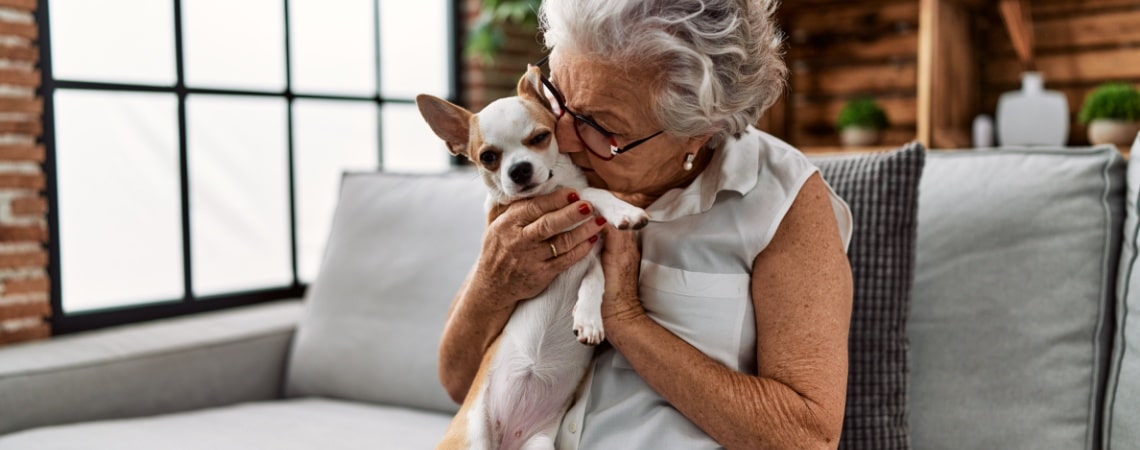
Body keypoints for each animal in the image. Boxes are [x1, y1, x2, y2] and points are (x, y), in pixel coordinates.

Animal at [419, 66, 652, 450]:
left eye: (541, 137)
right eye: (488, 157)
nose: (519, 170)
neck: (551, 191)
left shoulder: (593, 250)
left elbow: (595, 279)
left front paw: (588, 319)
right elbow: (588, 192)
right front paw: (623, 209)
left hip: (540, 443)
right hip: (472, 437)